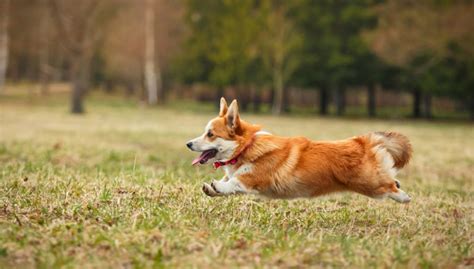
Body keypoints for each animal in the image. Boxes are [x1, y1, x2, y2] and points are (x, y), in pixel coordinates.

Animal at [185, 97, 412, 202]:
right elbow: (226, 184)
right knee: (392, 178)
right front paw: (212, 188)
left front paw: (218, 186)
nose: (188, 144)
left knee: (389, 186)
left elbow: (233, 182)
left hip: (369, 184)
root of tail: (362, 141)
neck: (246, 147)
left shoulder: (253, 179)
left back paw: (404, 197)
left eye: (210, 134)